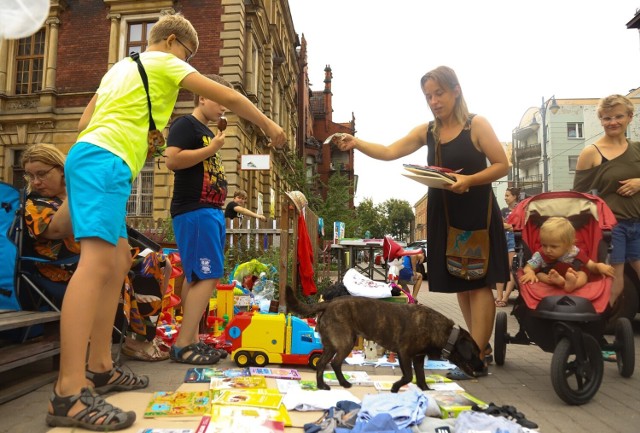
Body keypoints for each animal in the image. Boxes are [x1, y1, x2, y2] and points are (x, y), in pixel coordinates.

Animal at [284, 286, 484, 392]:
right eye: (475, 353)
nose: (483, 367)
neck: (445, 333)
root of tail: (328, 303)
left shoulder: (418, 358)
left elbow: (420, 377)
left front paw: (426, 390)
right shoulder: (404, 354)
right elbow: (408, 376)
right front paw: (395, 387)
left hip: (332, 345)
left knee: (324, 363)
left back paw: (330, 384)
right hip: (345, 343)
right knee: (332, 363)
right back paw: (334, 384)